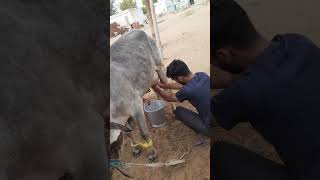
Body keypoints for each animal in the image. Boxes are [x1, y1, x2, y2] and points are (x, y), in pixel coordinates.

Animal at [110, 29, 168, 162]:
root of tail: (137, 30)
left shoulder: (136, 107)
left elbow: (143, 133)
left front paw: (152, 154)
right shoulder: (122, 118)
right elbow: (128, 133)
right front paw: (136, 149)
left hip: (159, 66)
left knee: (166, 84)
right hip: (149, 77)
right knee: (157, 88)